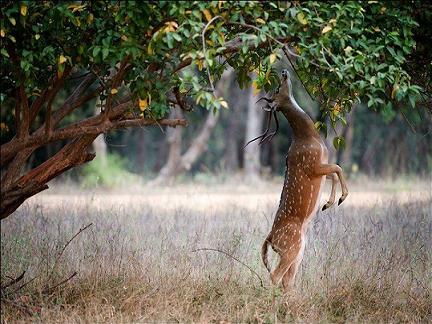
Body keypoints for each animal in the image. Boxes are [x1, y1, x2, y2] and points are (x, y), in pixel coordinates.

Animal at [258, 68, 350, 292]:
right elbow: (338, 167)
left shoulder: (321, 166)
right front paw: (340, 199)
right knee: (275, 276)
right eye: (276, 88)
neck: (310, 138)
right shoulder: (312, 165)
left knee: (287, 280)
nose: (284, 71)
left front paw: (328, 203)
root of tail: (270, 238)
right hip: (291, 247)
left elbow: (333, 172)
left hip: (298, 252)